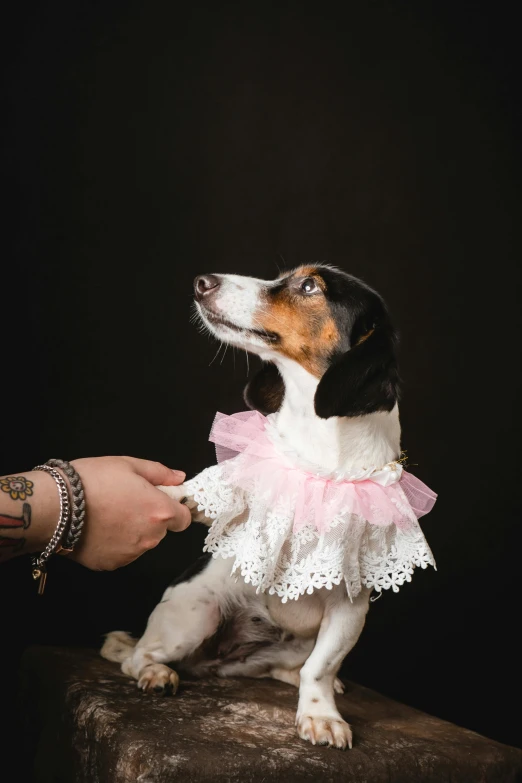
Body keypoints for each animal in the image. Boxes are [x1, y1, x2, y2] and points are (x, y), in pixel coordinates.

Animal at [101, 266, 434, 752]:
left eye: (309, 286)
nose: (202, 282)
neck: (319, 455)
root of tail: (218, 661)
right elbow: (192, 494)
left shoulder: (350, 609)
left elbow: (321, 667)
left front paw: (320, 714)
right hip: (193, 614)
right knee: (137, 656)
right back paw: (156, 672)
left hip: (294, 642)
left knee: (293, 668)